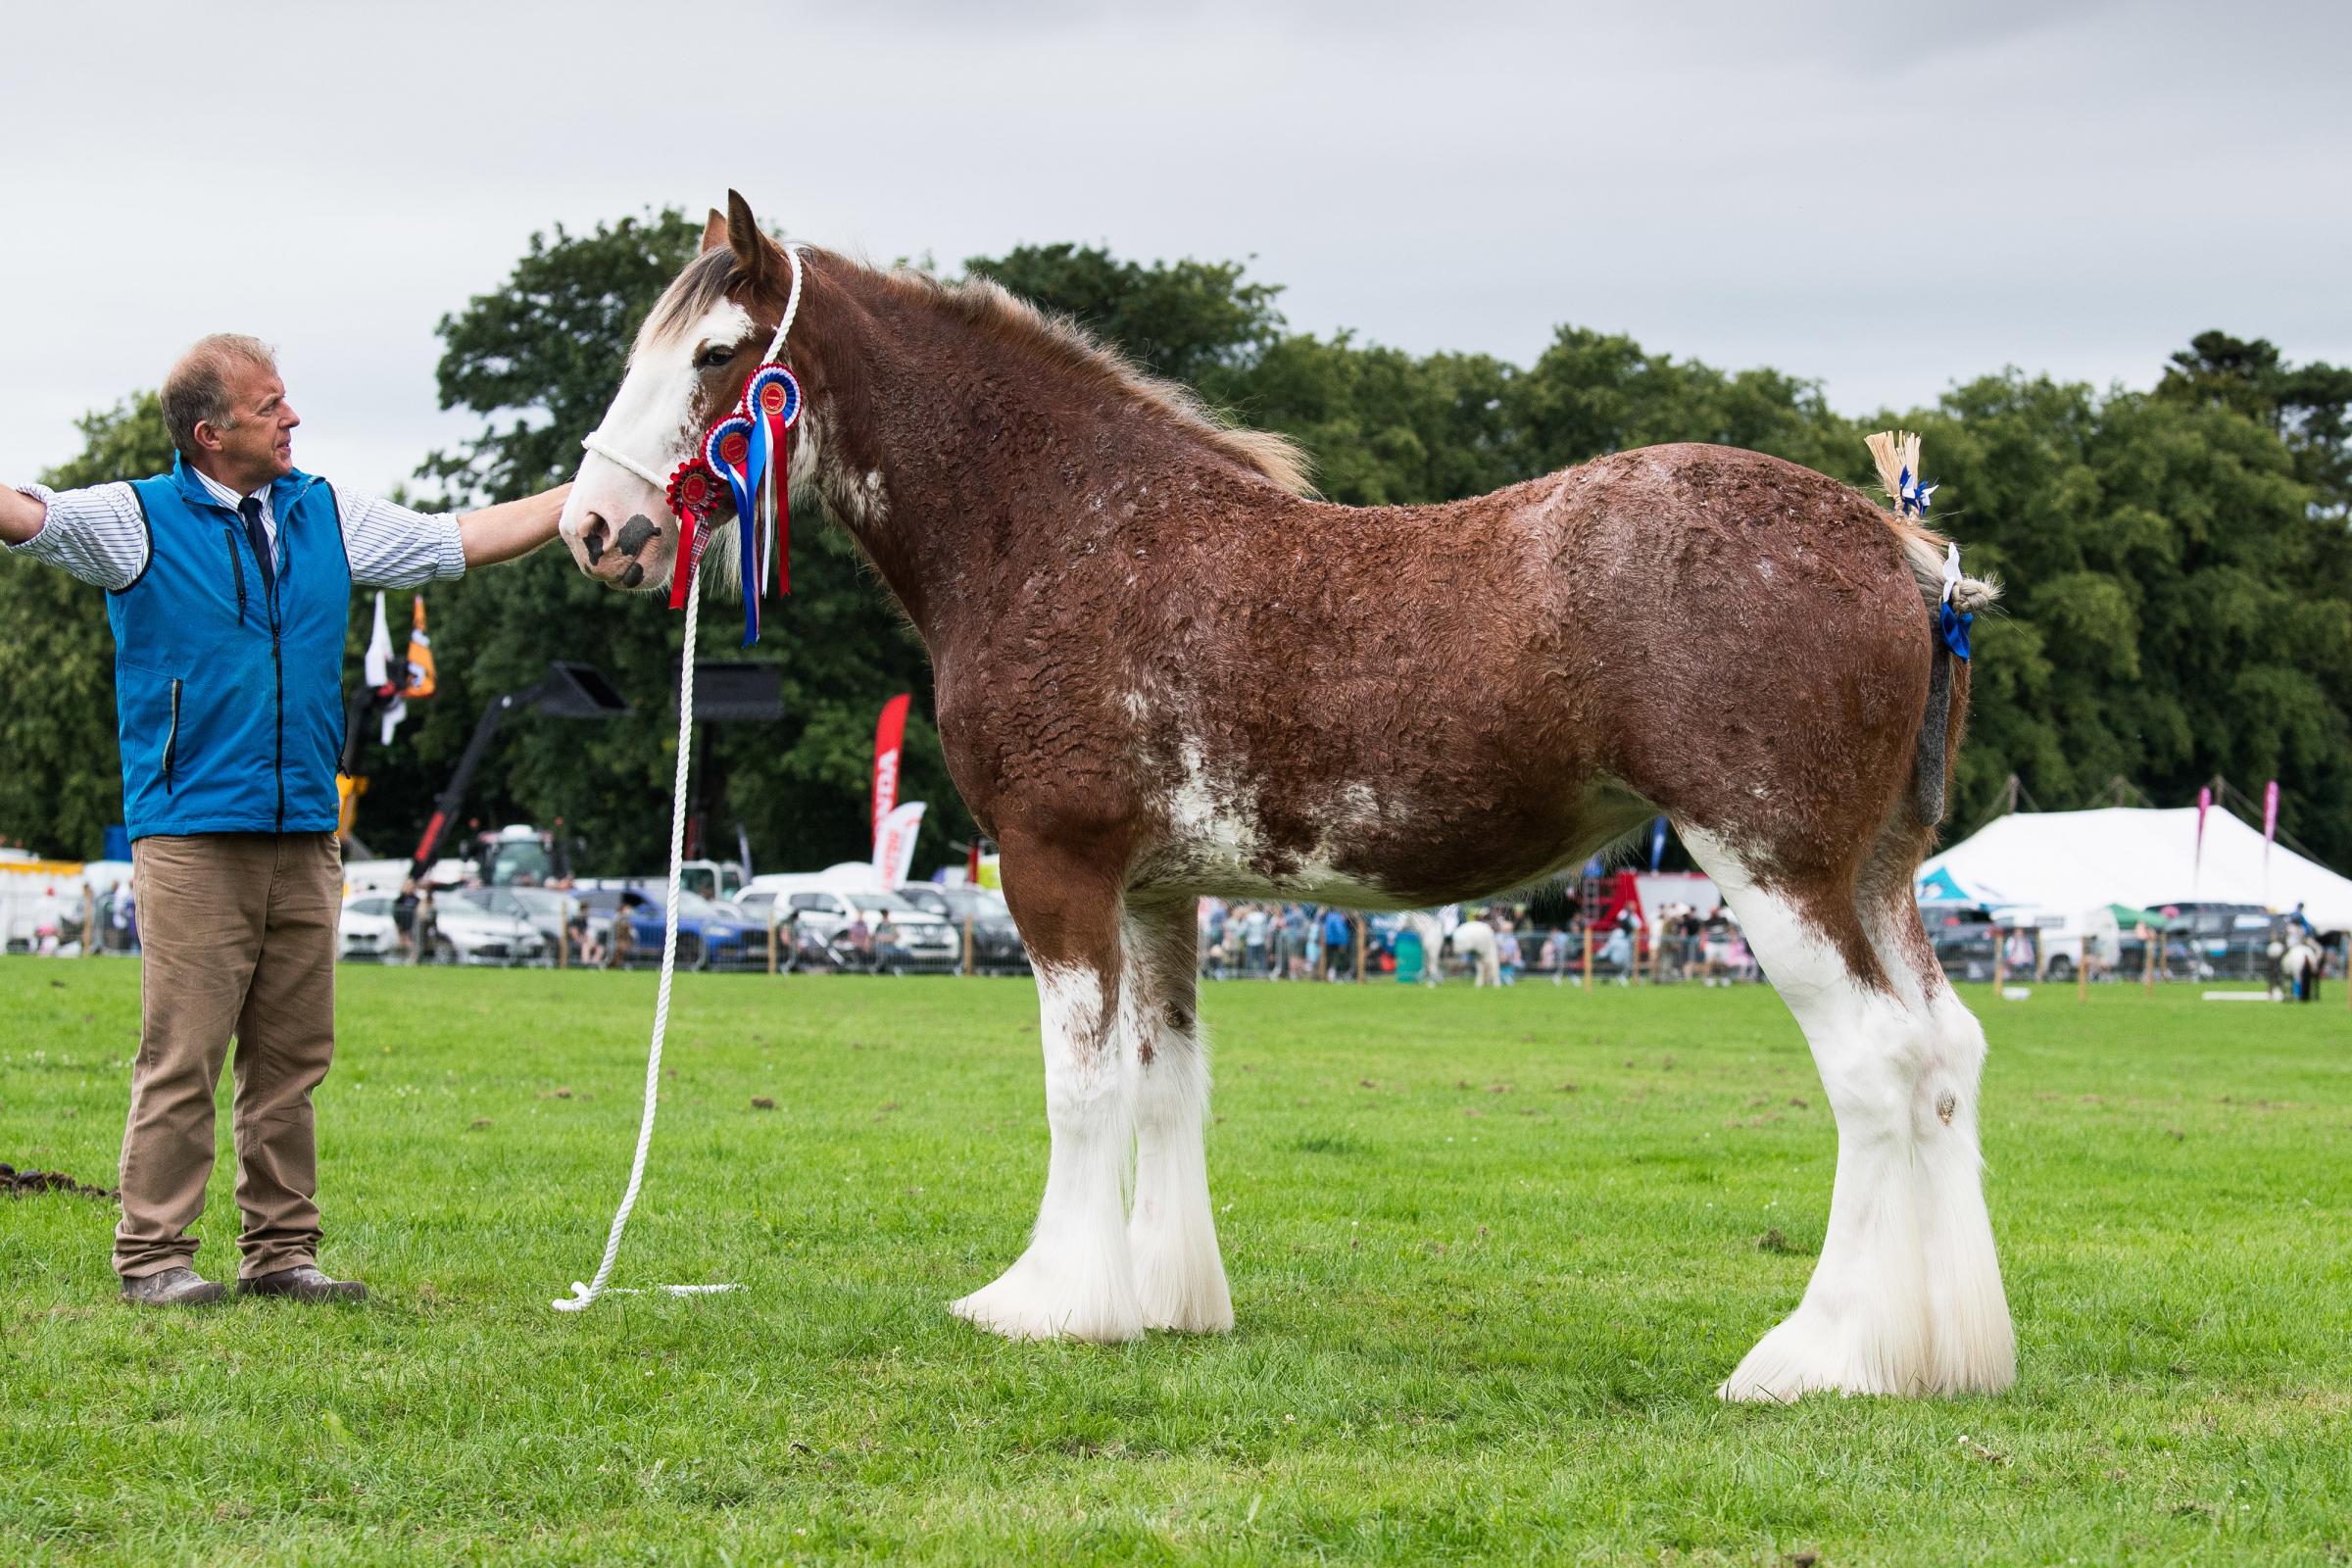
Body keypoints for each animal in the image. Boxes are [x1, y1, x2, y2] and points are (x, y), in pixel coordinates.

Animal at [560, 190, 2013, 1400]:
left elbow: (1079, 1087)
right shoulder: (1159, 894)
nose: (593, 530)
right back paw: (1945, 1356)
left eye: (716, 354)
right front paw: (1161, 1298)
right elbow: (1162, 1084)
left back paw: (1816, 1358)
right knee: (1945, 1058)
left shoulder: (1056, 869)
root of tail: (1903, 554)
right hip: (1877, 877)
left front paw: (1050, 1304)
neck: (1064, 531)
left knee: (1876, 1070)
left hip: (1774, 871)